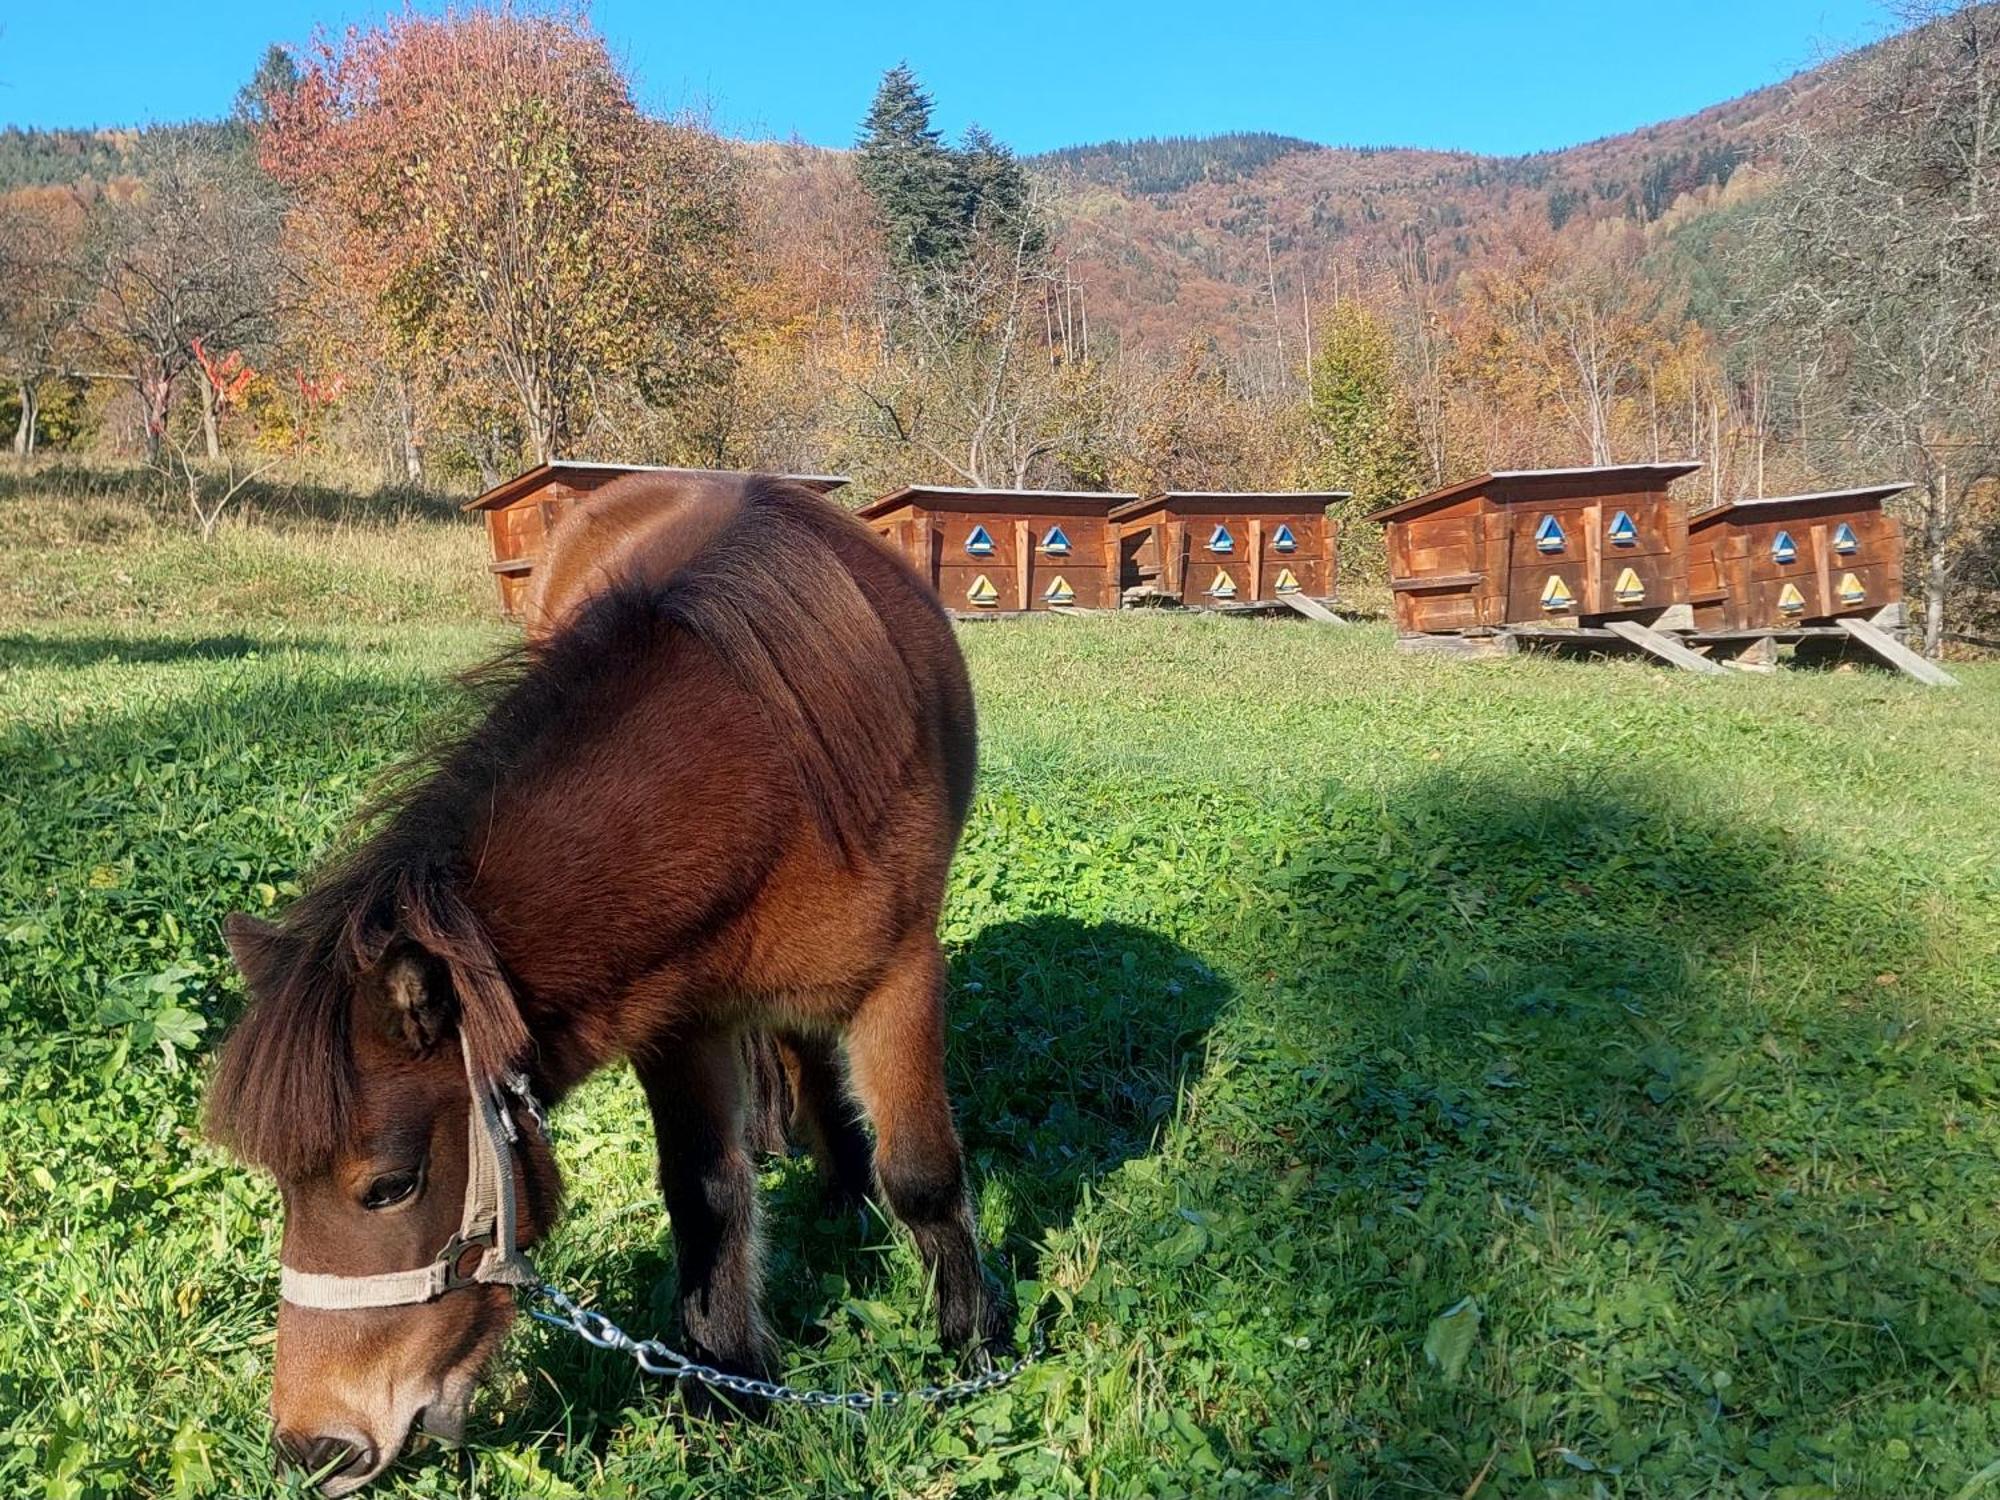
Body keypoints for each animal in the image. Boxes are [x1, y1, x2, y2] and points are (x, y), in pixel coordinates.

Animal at [211, 476, 992, 1496]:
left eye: (387, 1187)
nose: (314, 1447)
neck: (758, 779)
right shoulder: (677, 1019)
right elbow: (706, 1195)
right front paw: (727, 1387)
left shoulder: (901, 976)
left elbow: (925, 1176)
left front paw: (973, 1351)